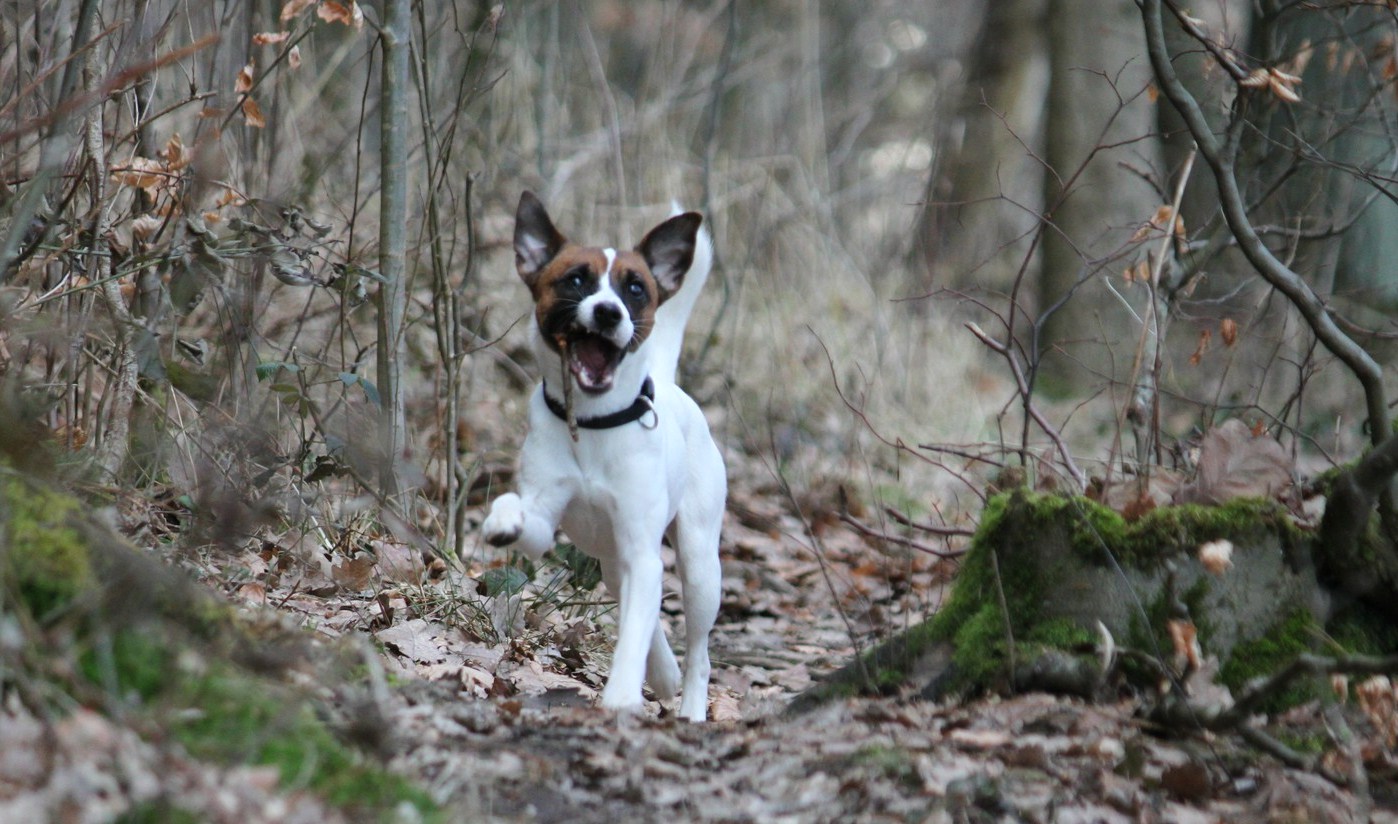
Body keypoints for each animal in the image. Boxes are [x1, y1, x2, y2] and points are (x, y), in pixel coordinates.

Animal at [480, 191, 726, 721]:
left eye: (635, 288)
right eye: (576, 280)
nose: (610, 312)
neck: (593, 424)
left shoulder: (643, 545)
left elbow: (633, 634)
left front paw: (620, 697)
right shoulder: (547, 521)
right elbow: (520, 513)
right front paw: (502, 518)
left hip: (700, 563)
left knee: (697, 648)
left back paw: (691, 707)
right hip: (614, 561)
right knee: (636, 598)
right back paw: (664, 672)